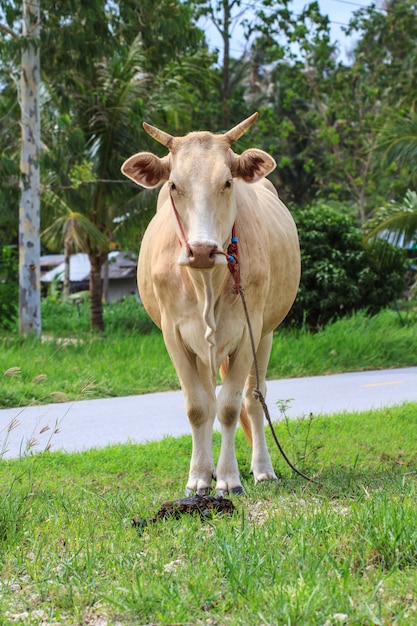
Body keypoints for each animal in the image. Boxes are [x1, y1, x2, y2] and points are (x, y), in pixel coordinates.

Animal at [120, 111, 300, 492]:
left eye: (227, 182)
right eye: (174, 185)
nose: (201, 250)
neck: (205, 282)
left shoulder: (249, 331)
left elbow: (230, 407)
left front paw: (230, 478)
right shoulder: (174, 335)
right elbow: (198, 407)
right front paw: (199, 477)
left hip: (266, 335)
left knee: (254, 398)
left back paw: (262, 468)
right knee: (208, 395)